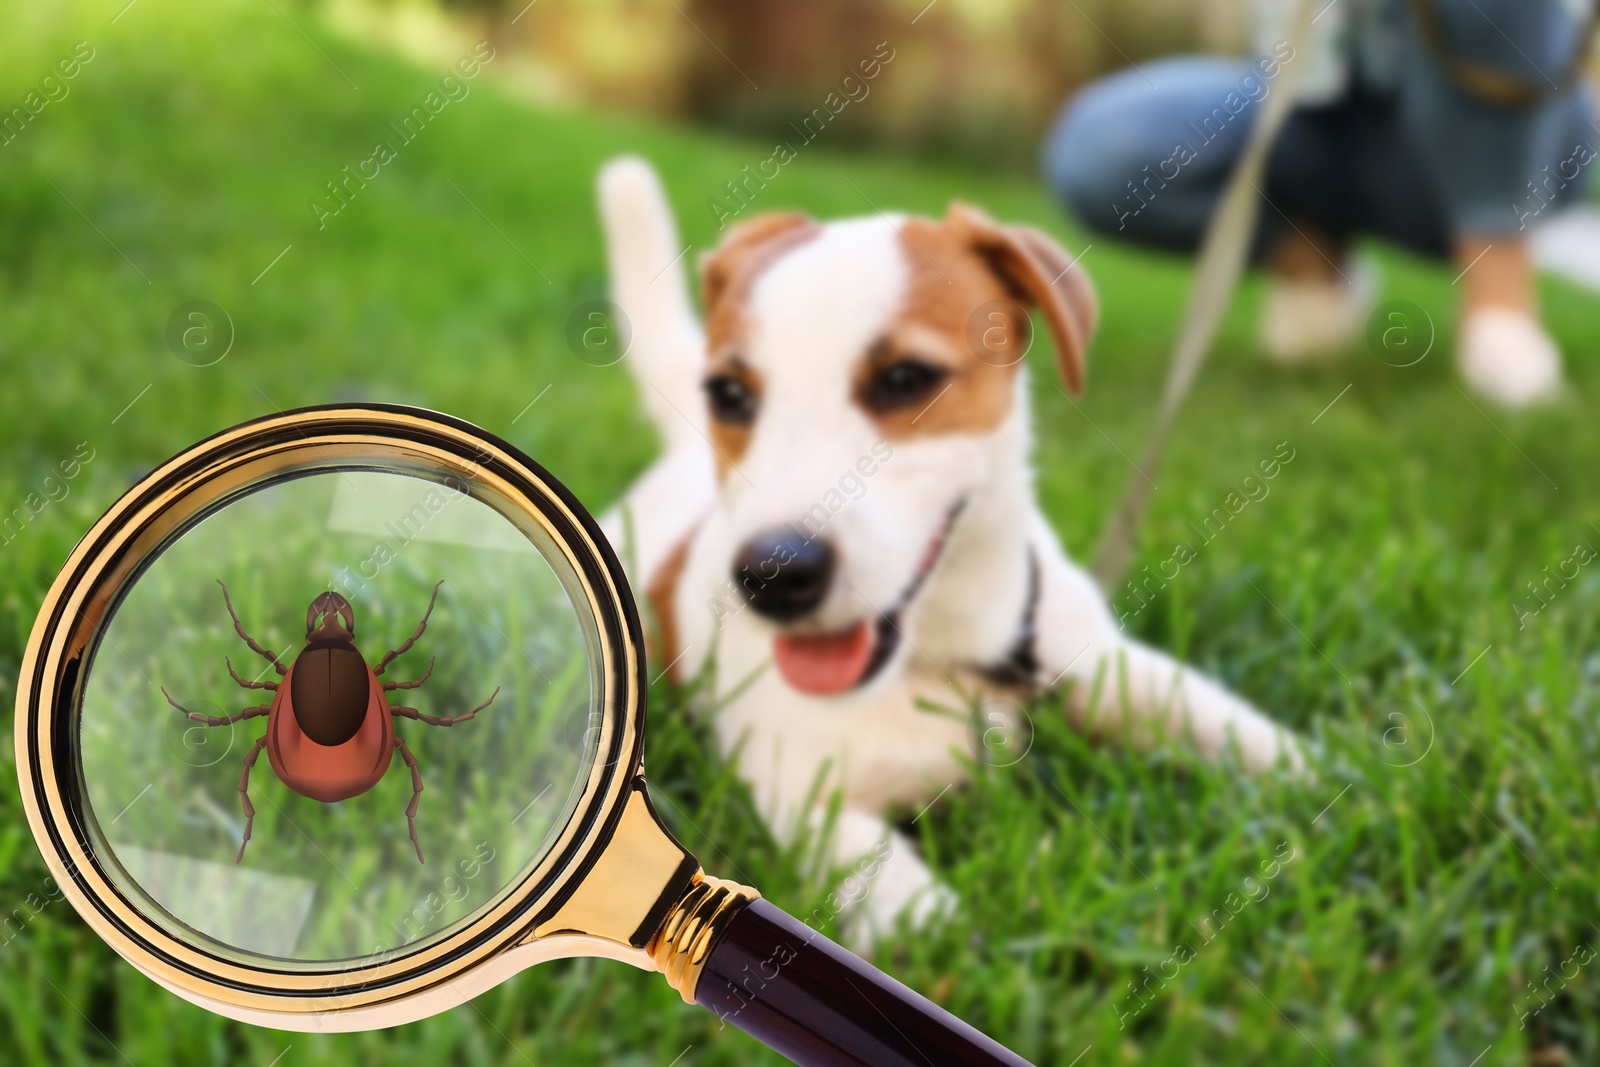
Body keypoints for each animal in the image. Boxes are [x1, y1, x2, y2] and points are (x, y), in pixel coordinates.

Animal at [595, 156, 1305, 940]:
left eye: (906, 378)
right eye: (727, 393)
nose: (774, 575)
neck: (944, 656)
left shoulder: (1097, 660)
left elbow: (1224, 722)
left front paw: (1330, 771)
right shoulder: (802, 792)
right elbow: (909, 910)